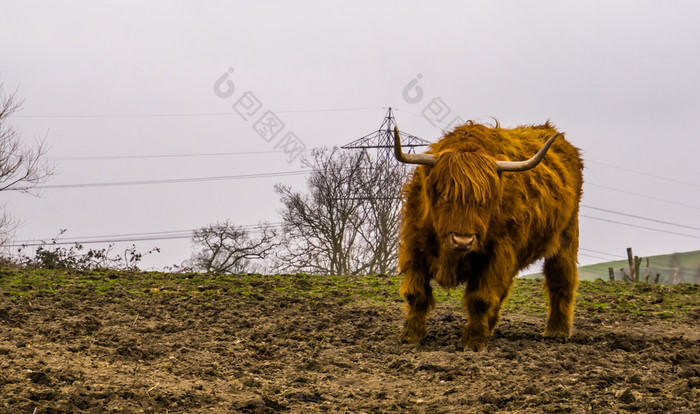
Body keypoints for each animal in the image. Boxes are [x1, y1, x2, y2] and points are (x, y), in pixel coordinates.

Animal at [394, 121, 584, 350]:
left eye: (484, 199)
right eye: (443, 194)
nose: (463, 240)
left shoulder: (497, 255)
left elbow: (481, 299)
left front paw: (474, 342)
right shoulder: (414, 248)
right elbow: (416, 295)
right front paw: (411, 337)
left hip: (566, 235)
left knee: (560, 278)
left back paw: (557, 332)